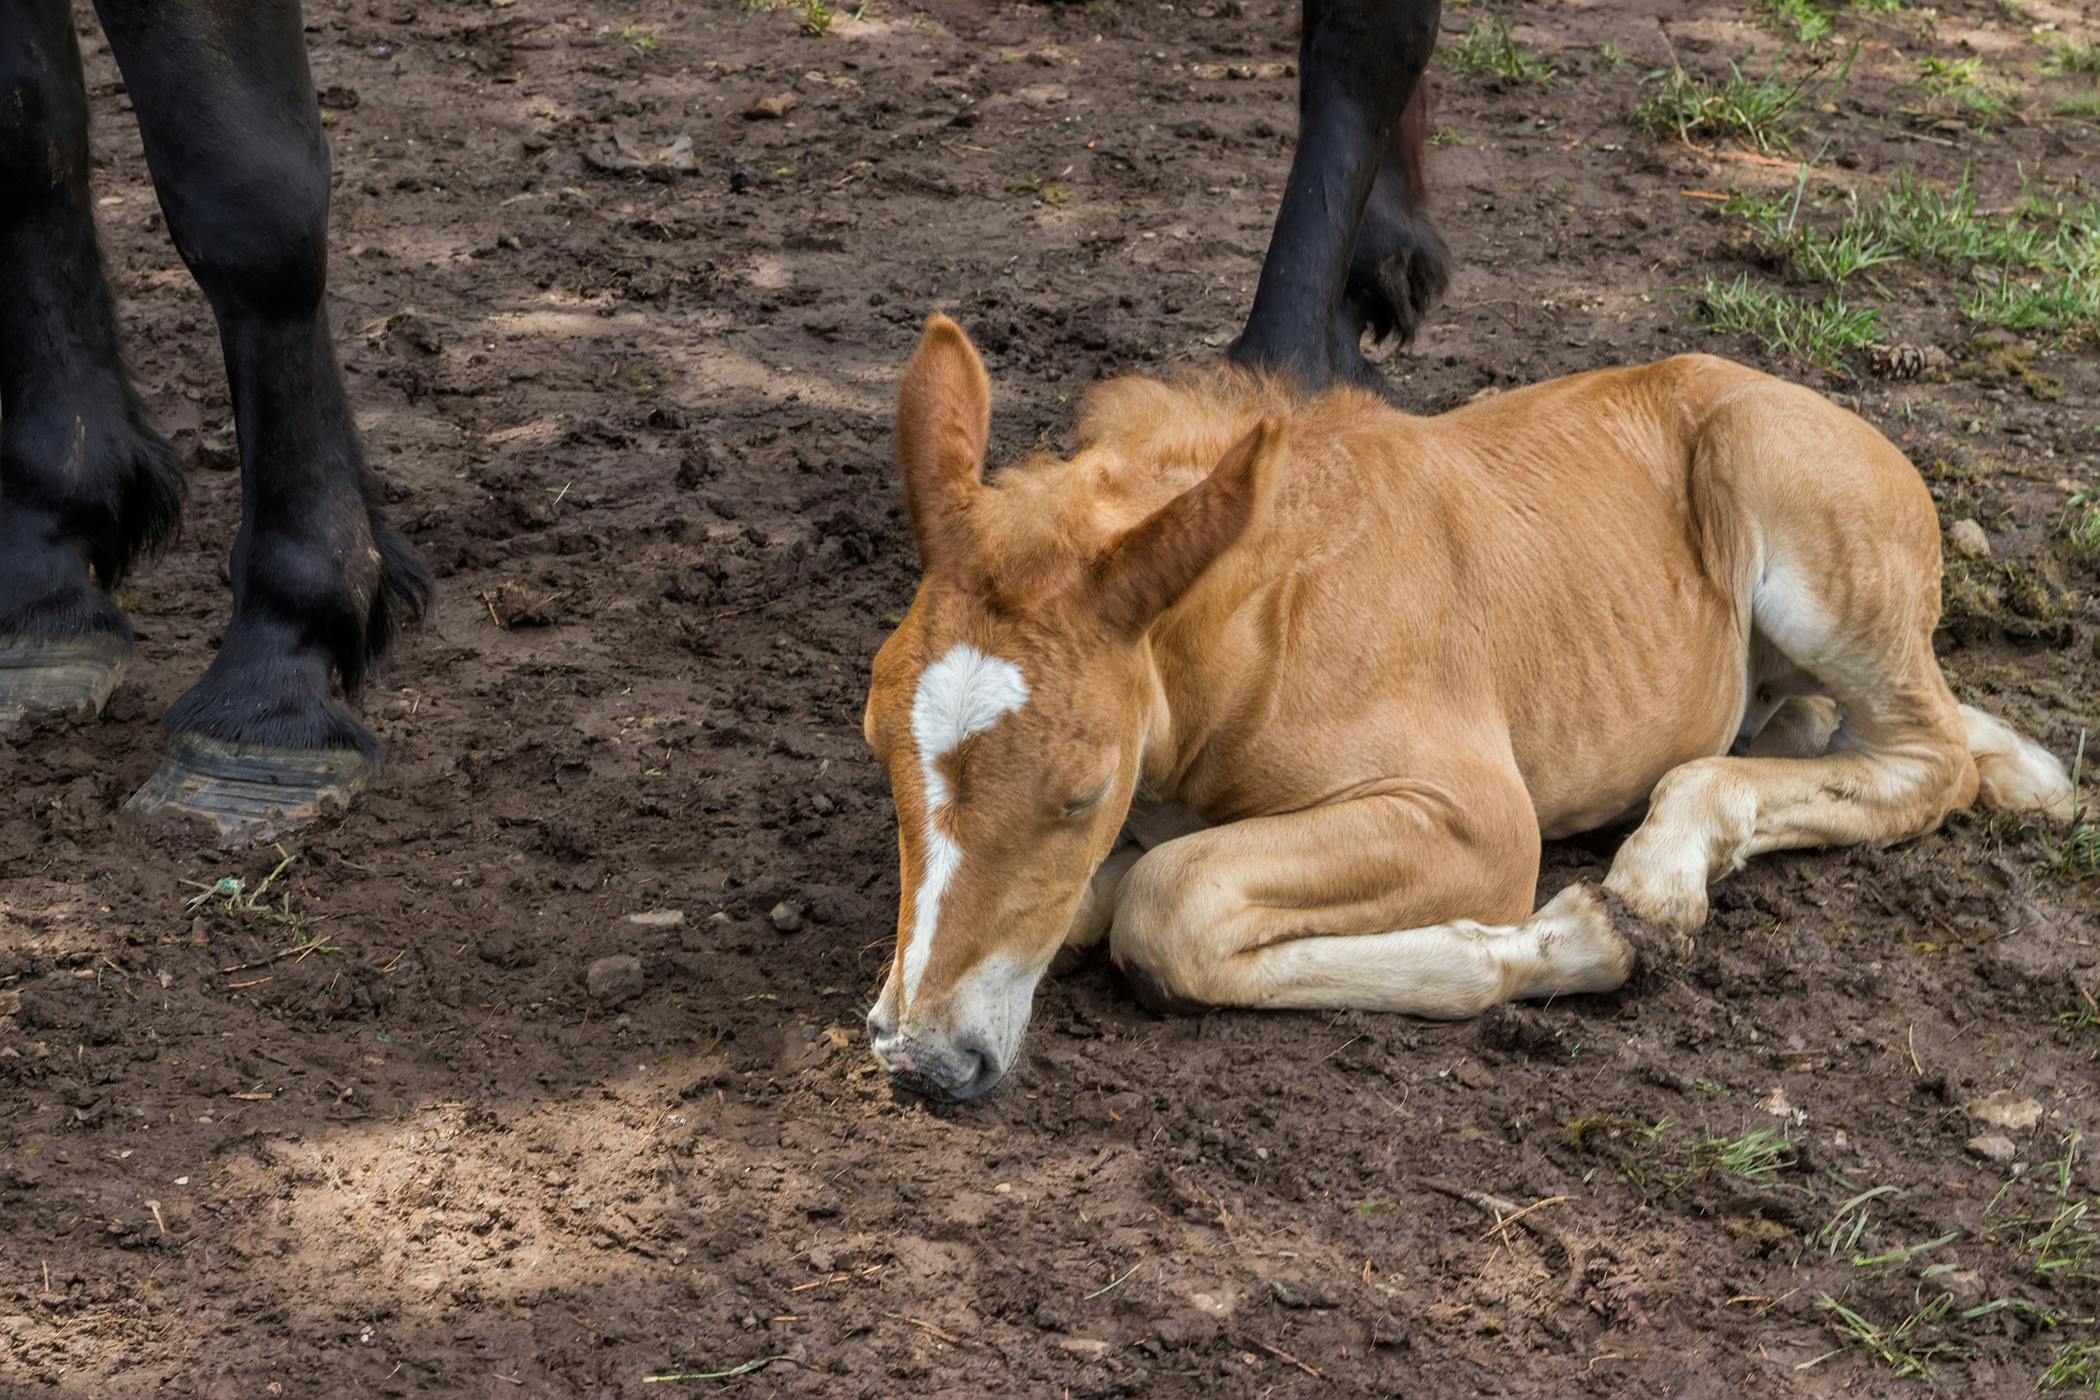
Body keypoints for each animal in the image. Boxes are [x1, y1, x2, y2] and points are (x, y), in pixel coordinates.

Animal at [858, 314, 2074, 1103]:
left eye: (1082, 791)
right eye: (878, 746)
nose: (923, 1059)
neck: (1252, 629)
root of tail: (1825, 409)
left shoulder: (1479, 816)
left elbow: (1170, 902)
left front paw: (1581, 935)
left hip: (1796, 517)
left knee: (1924, 755)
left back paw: (1664, 866)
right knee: (1859, 729)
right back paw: (2033, 778)